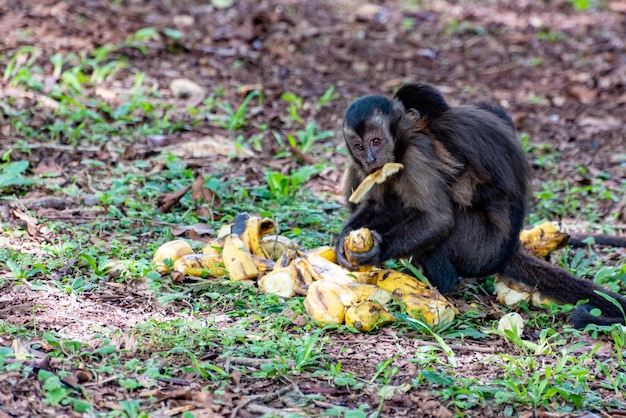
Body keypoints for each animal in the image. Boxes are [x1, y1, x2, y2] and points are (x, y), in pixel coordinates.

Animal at [334, 83, 624, 328]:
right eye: (359, 146)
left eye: (376, 141)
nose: (371, 158)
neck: (403, 139)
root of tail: (505, 251)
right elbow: (382, 206)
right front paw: (342, 242)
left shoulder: (414, 154)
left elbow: (437, 219)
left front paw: (377, 251)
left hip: (476, 246)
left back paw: (443, 285)